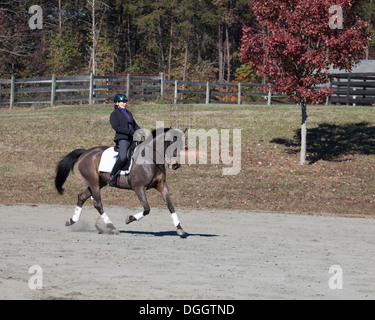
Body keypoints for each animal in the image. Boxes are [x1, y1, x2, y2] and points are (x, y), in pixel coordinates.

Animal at [54, 127, 187, 235]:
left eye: (182, 146)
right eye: (170, 143)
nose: (175, 165)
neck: (150, 158)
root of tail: (85, 152)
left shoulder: (161, 185)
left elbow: (170, 205)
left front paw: (179, 228)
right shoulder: (139, 188)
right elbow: (147, 209)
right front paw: (129, 219)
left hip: (99, 183)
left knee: (81, 196)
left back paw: (72, 220)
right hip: (93, 183)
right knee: (98, 204)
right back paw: (112, 227)